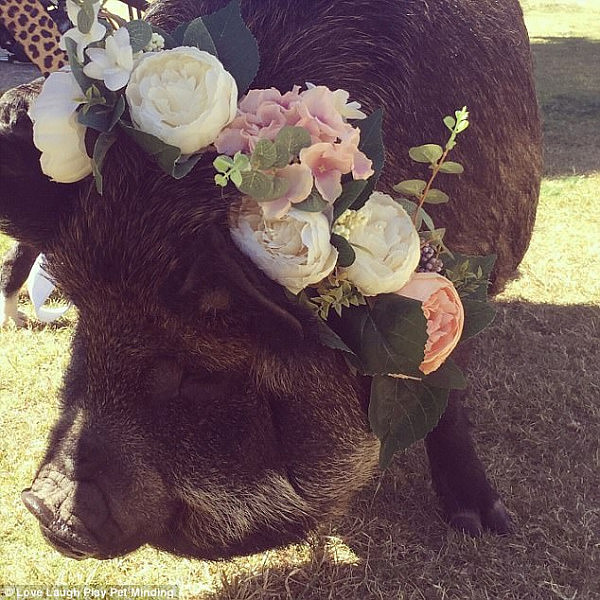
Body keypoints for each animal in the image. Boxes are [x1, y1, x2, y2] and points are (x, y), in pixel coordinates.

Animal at [0, 1, 544, 564]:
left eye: (203, 372)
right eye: (86, 320)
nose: (43, 509)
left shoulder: (461, 298)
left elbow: (448, 407)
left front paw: (484, 524)